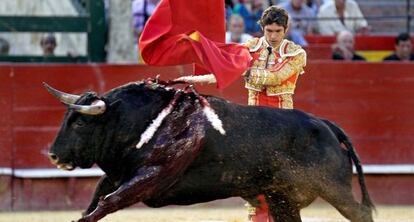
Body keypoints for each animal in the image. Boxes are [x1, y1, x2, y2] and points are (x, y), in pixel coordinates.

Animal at [44, 80, 376, 222]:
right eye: (66, 119)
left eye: (80, 123)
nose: (54, 156)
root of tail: (325, 124)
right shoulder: (120, 177)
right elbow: (94, 202)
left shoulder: (150, 177)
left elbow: (104, 205)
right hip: (282, 198)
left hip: (333, 188)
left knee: (360, 213)